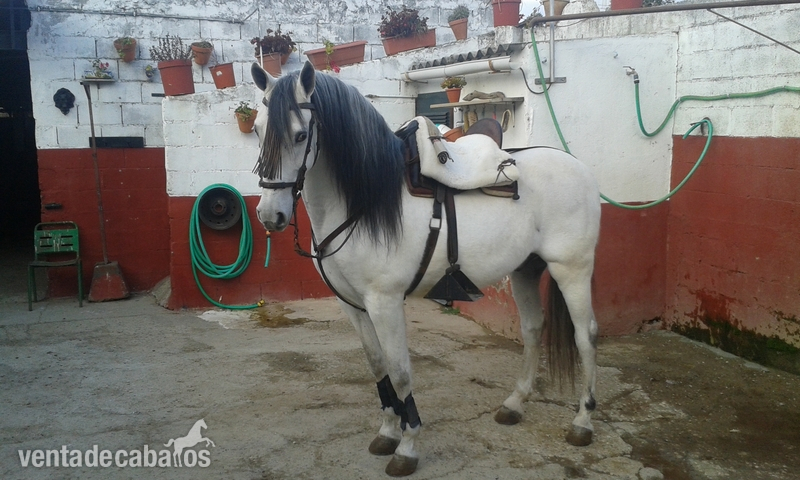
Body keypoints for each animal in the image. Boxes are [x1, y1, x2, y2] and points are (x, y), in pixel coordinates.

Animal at [251, 61, 601, 477]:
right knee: (533, 330)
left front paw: (407, 445)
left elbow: (400, 371)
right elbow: (377, 366)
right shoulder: (352, 305)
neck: (364, 202)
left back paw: (582, 422)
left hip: (571, 270)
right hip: (524, 271)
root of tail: (578, 166)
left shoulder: (384, 303)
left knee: (585, 336)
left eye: (301, 134)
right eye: (256, 129)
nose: (270, 215)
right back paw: (514, 404)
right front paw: (387, 432)